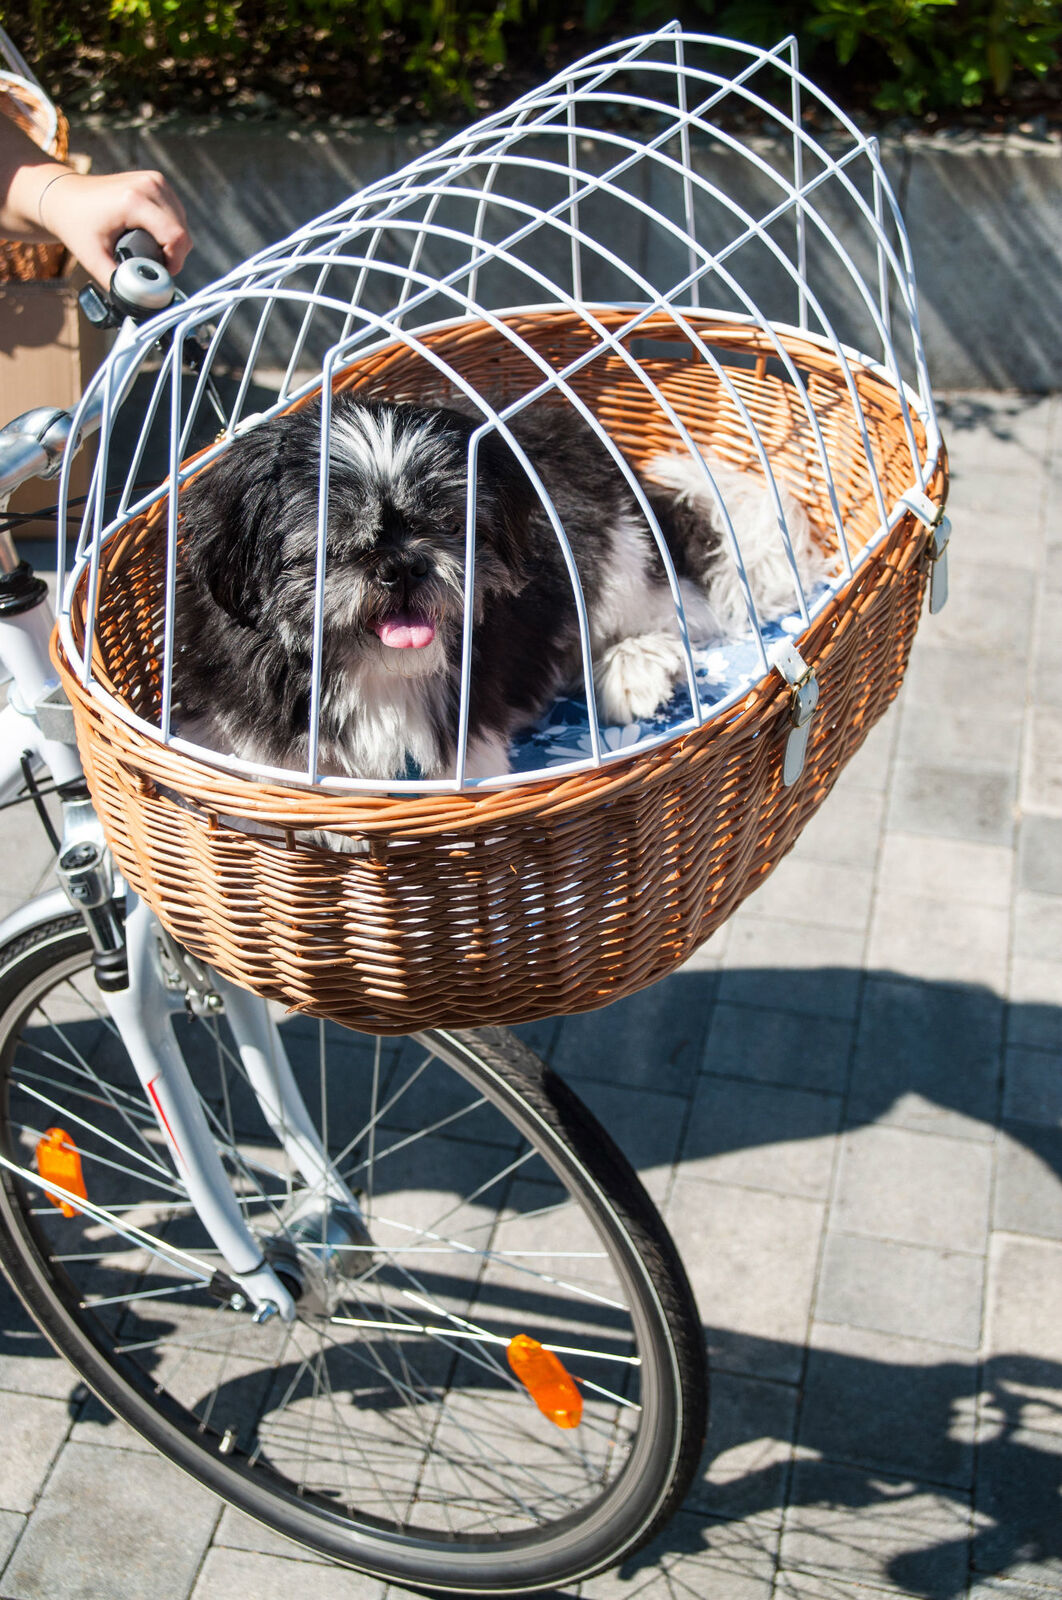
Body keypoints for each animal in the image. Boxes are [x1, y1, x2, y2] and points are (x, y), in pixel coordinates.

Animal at [174, 393, 825, 780]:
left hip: (614, 557)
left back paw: (636, 670)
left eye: (446, 522)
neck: (376, 672)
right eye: (334, 538)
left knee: (682, 615)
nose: (403, 563)